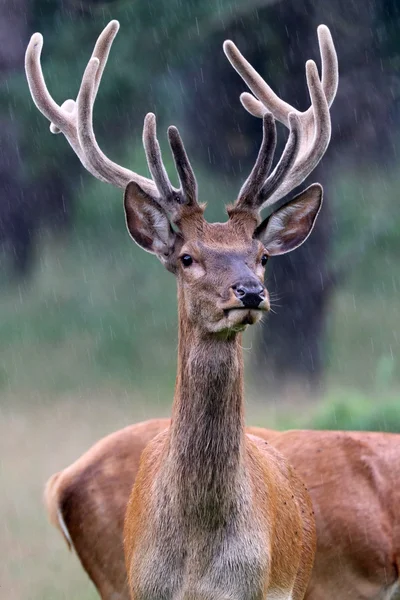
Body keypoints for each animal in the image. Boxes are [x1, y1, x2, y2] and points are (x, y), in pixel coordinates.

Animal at [25, 18, 340, 600]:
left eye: (262, 256)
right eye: (188, 257)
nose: (250, 293)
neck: (197, 559)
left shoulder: (257, 589)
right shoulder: (141, 587)